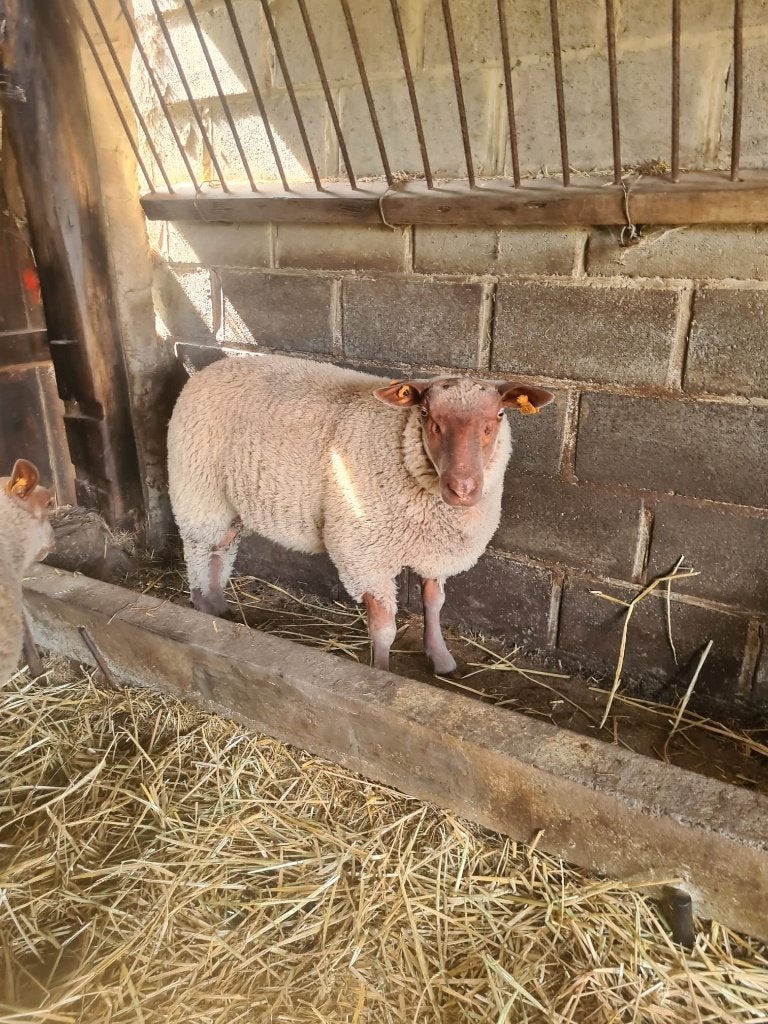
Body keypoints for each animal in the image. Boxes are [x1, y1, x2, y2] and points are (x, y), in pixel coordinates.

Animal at [167, 353, 553, 674]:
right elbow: (384, 629)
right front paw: (380, 673)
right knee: (199, 552)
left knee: (221, 550)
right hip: (199, 493)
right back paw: (202, 604)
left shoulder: (435, 552)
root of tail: (209, 368)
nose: (462, 488)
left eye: (499, 415)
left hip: (229, 506)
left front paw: (441, 658)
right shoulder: (365, 554)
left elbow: (434, 604)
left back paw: (219, 607)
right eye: (426, 415)